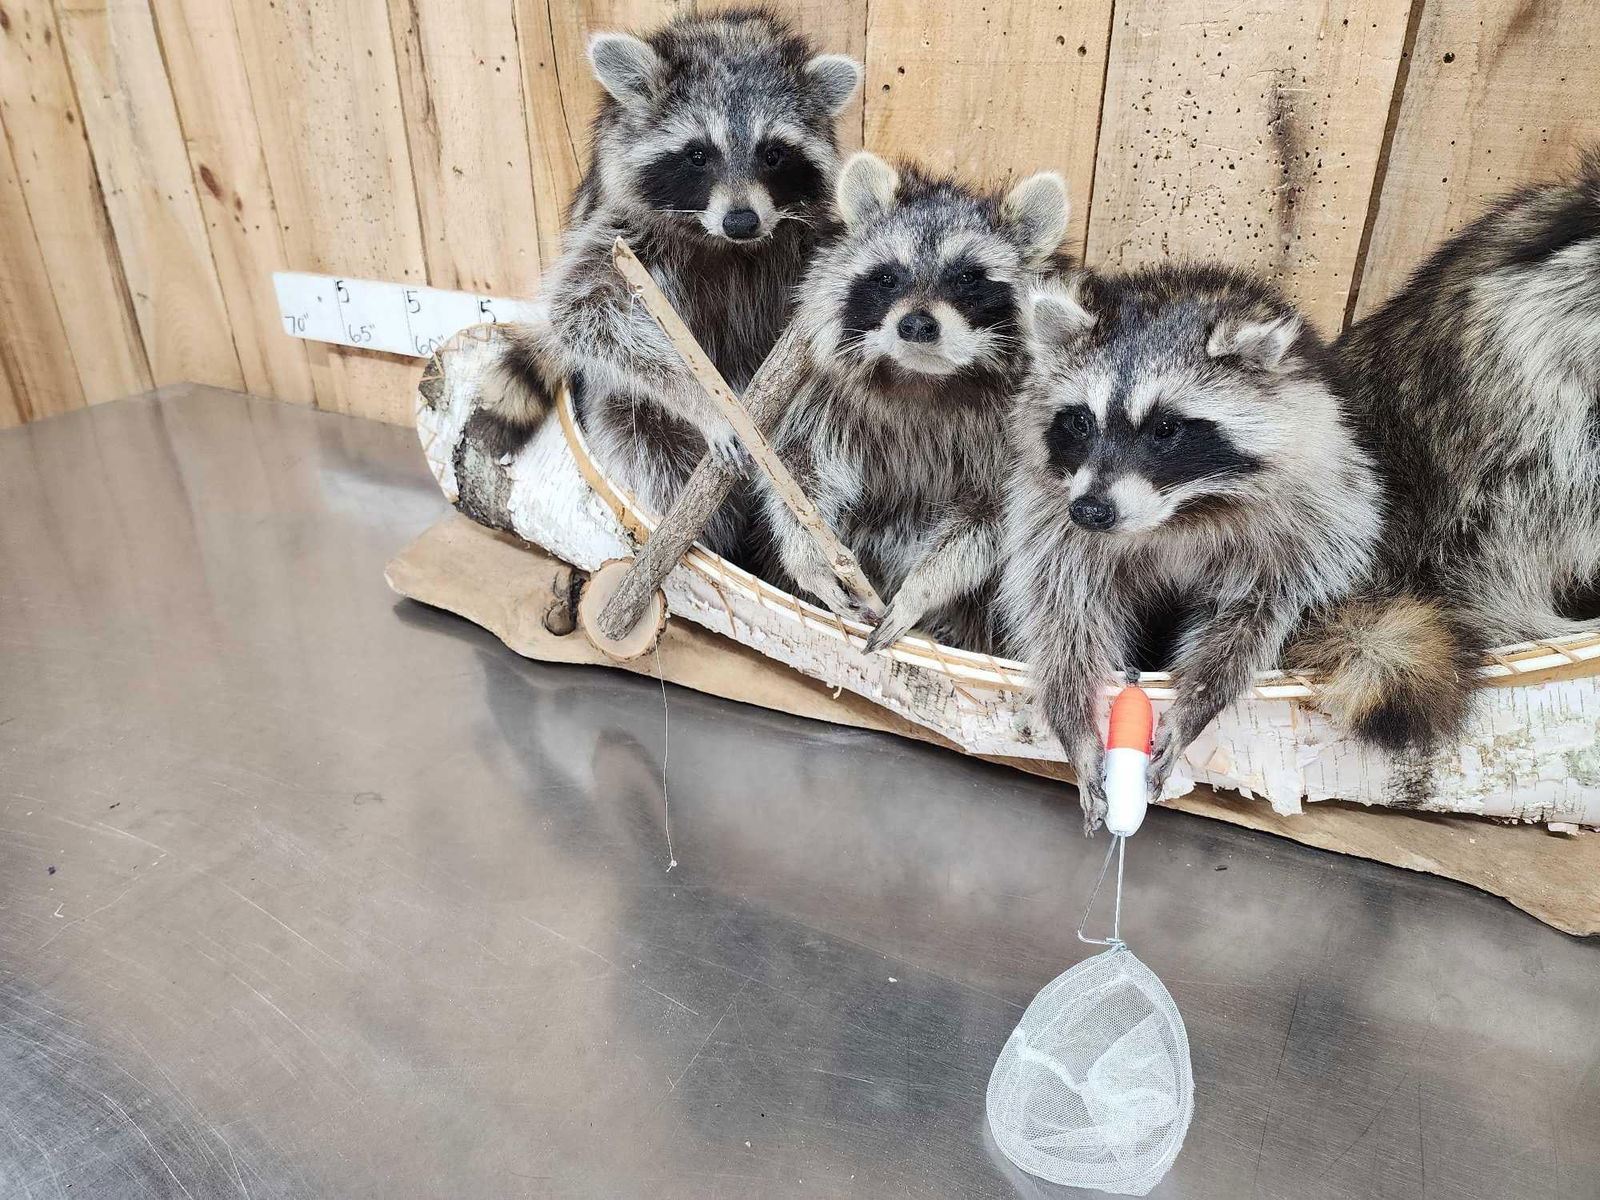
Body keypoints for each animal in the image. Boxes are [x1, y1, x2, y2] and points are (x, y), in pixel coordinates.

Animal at [479, 9, 861, 556]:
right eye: (698, 155)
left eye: (773, 154)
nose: (742, 221)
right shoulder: (619, 230)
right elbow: (583, 311)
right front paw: (708, 402)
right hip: (629, 412)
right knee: (654, 454)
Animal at [758, 152, 1071, 653]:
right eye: (888, 277)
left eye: (967, 278)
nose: (916, 325)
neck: (924, 379)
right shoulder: (824, 397)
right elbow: (798, 470)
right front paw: (808, 557)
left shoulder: (1023, 443)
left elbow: (988, 520)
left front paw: (921, 589)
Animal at [1002, 267, 1382, 827]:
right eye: (1081, 421)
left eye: (1166, 428)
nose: (1091, 512)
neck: (1178, 511)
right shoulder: (1051, 515)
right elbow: (1061, 611)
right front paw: (1073, 717)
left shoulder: (1308, 512)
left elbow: (1252, 616)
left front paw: (1197, 701)